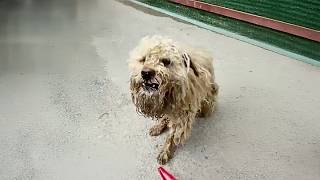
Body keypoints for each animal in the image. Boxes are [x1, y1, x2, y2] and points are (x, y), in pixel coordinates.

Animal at [127, 35, 218, 165]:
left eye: (166, 61)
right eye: (143, 59)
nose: (146, 73)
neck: (169, 92)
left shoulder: (182, 117)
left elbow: (171, 137)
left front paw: (166, 152)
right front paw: (160, 125)